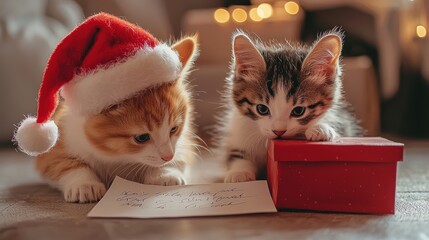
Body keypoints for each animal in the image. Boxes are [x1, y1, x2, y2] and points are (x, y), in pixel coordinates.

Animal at [35, 37, 199, 202]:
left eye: (174, 129)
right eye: (142, 137)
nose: (168, 156)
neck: (120, 157)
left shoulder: (183, 143)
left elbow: (181, 155)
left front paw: (166, 173)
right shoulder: (59, 140)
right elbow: (61, 163)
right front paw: (85, 184)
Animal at [219, 31, 362, 183]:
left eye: (299, 111)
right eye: (262, 109)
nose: (278, 132)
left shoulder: (345, 126)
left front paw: (320, 128)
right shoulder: (237, 132)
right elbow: (236, 155)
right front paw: (239, 173)